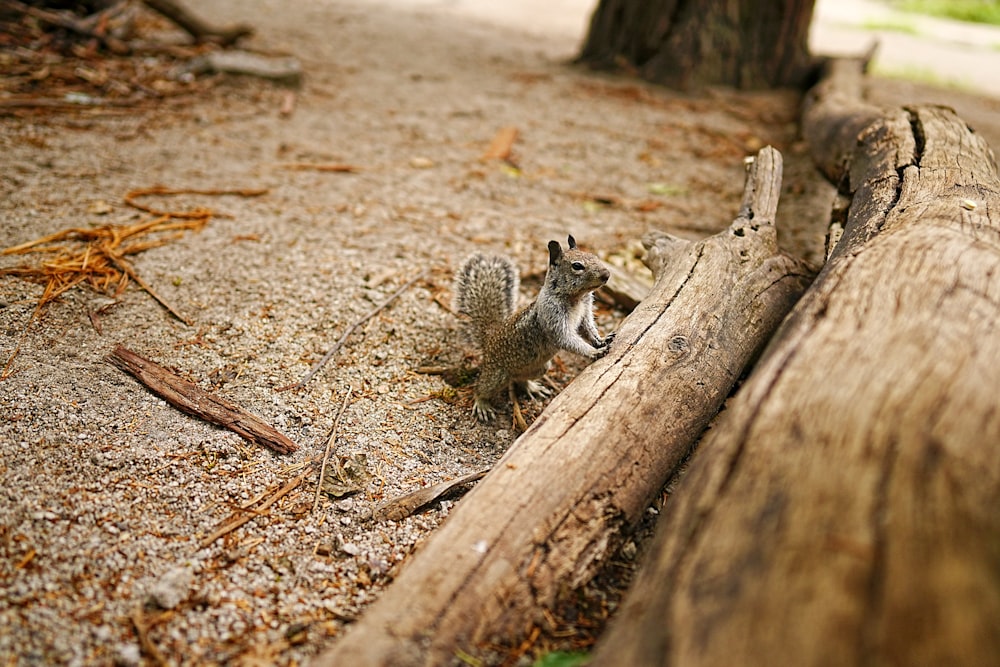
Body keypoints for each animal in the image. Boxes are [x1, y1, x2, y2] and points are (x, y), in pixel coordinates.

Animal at [456, 237, 612, 420]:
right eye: (577, 266)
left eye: (594, 256)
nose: (607, 274)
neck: (577, 298)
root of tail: (490, 337)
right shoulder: (553, 317)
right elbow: (566, 339)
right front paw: (594, 352)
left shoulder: (585, 314)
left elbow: (588, 329)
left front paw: (601, 340)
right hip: (496, 375)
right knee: (481, 387)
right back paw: (482, 404)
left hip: (541, 368)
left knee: (519, 379)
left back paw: (532, 387)